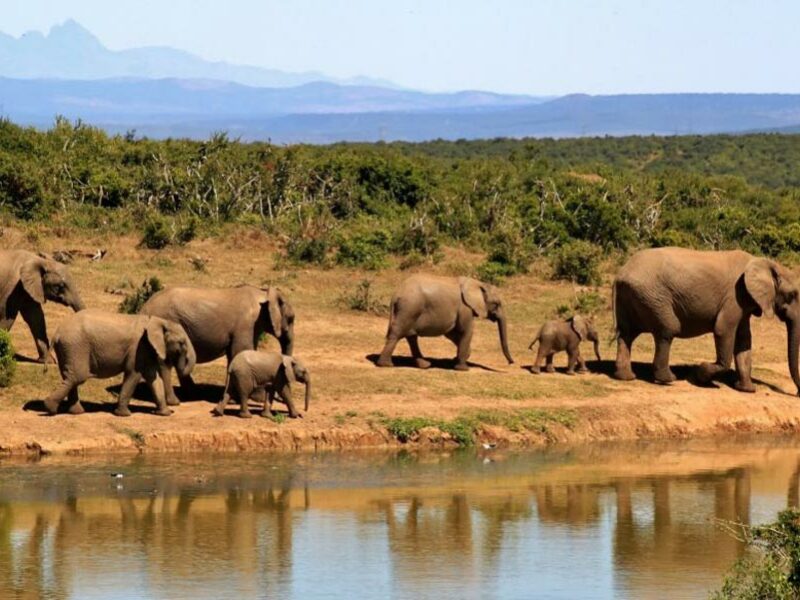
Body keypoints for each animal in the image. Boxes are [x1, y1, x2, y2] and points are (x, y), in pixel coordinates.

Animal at [42, 310, 196, 417]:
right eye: (181, 343)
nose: (175, 408)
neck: (157, 321)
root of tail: (57, 333)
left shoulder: (145, 349)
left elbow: (153, 378)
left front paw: (165, 414)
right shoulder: (138, 347)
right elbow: (133, 374)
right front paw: (124, 415)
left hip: (68, 349)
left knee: (70, 377)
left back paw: (76, 412)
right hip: (75, 347)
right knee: (77, 377)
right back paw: (50, 408)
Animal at [140, 285, 294, 406]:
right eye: (291, 318)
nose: (278, 397)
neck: (263, 293)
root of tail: (144, 307)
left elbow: (234, 355)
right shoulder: (246, 325)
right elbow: (241, 351)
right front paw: (256, 398)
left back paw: (194, 394)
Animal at [376, 275, 514, 371]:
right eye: (497, 304)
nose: (511, 363)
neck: (477, 283)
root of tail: (395, 295)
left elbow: (452, 333)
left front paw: (456, 359)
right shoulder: (465, 308)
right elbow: (466, 331)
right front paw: (463, 368)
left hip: (409, 311)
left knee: (411, 337)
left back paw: (425, 365)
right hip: (409, 308)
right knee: (397, 334)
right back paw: (386, 365)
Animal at [612, 247, 800, 394]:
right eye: (792, 295)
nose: (797, 393)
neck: (766, 263)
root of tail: (620, 274)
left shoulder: (744, 301)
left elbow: (744, 340)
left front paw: (747, 389)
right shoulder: (734, 296)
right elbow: (723, 330)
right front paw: (700, 376)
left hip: (633, 296)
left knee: (626, 334)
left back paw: (626, 377)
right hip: (653, 296)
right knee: (667, 329)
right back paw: (668, 379)